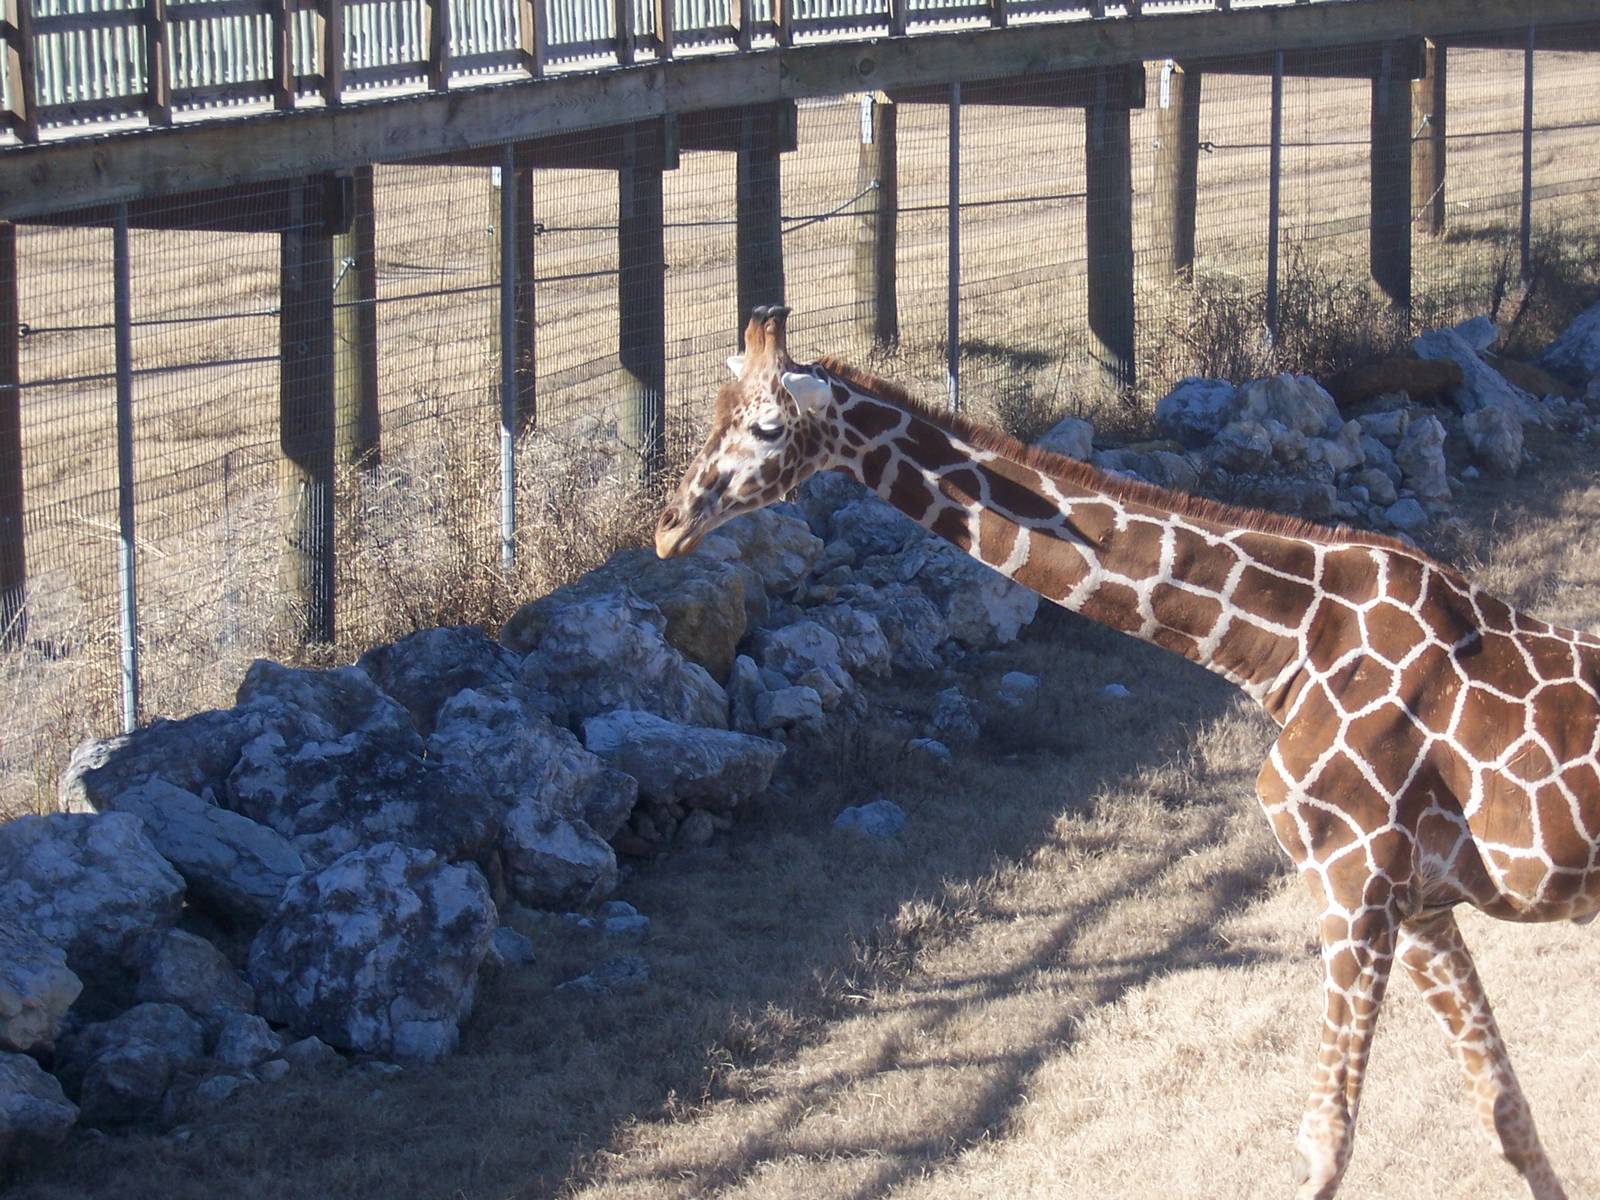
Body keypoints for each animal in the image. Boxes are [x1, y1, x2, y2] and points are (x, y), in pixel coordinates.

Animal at [655, 307, 1600, 1199]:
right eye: (712, 412)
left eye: (766, 427)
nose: (666, 530)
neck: (1286, 646)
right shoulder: (1422, 902)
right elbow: (1504, 1110)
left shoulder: (1355, 883)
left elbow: (1325, 1140)